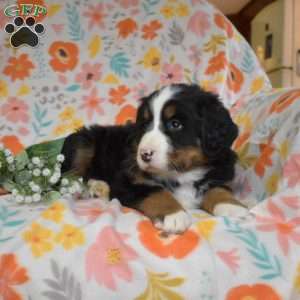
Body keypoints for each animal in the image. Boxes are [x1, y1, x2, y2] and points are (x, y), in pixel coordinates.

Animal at [62, 83, 247, 233]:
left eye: (175, 124)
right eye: (145, 124)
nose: (145, 154)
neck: (183, 173)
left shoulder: (218, 174)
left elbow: (219, 190)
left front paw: (233, 207)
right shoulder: (128, 181)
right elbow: (156, 191)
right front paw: (174, 214)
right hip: (81, 143)